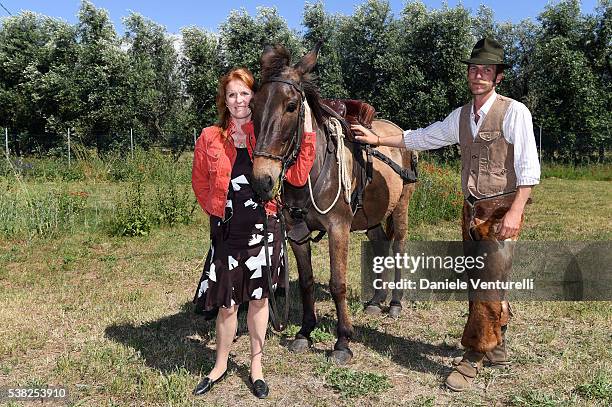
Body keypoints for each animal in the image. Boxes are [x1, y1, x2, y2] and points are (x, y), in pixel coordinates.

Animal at [250, 43, 416, 364]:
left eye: (291, 106)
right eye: (252, 107)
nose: (262, 179)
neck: (314, 169)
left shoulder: (338, 227)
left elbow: (337, 284)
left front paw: (343, 342)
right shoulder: (296, 232)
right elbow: (306, 282)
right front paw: (304, 333)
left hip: (400, 208)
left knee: (399, 247)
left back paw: (395, 304)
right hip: (371, 217)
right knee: (380, 245)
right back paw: (376, 301)